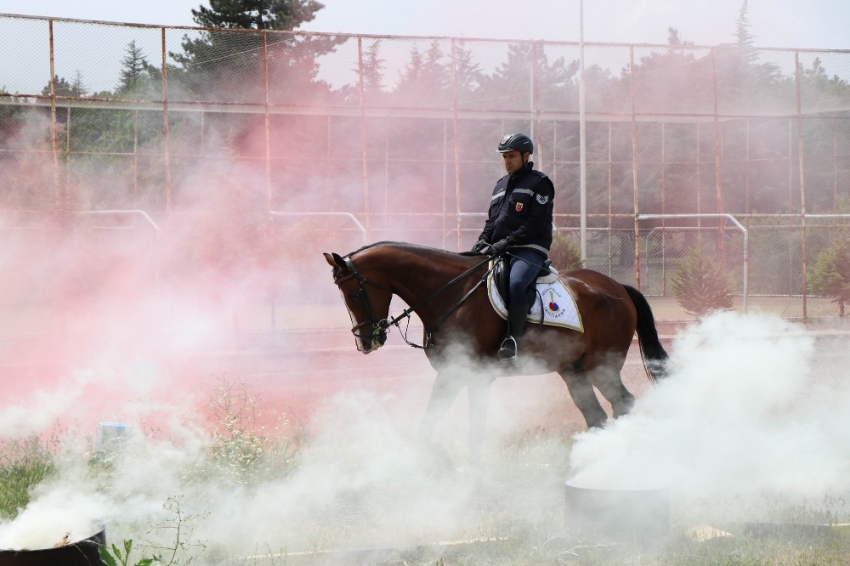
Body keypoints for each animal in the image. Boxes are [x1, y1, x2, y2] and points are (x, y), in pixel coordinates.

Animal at [322, 242, 664, 468]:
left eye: (355, 294)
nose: (365, 342)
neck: (451, 294)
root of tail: (618, 288)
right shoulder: (451, 373)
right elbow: (425, 426)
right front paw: (444, 465)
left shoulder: (475, 376)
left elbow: (474, 432)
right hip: (573, 369)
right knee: (596, 416)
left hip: (601, 365)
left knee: (622, 402)